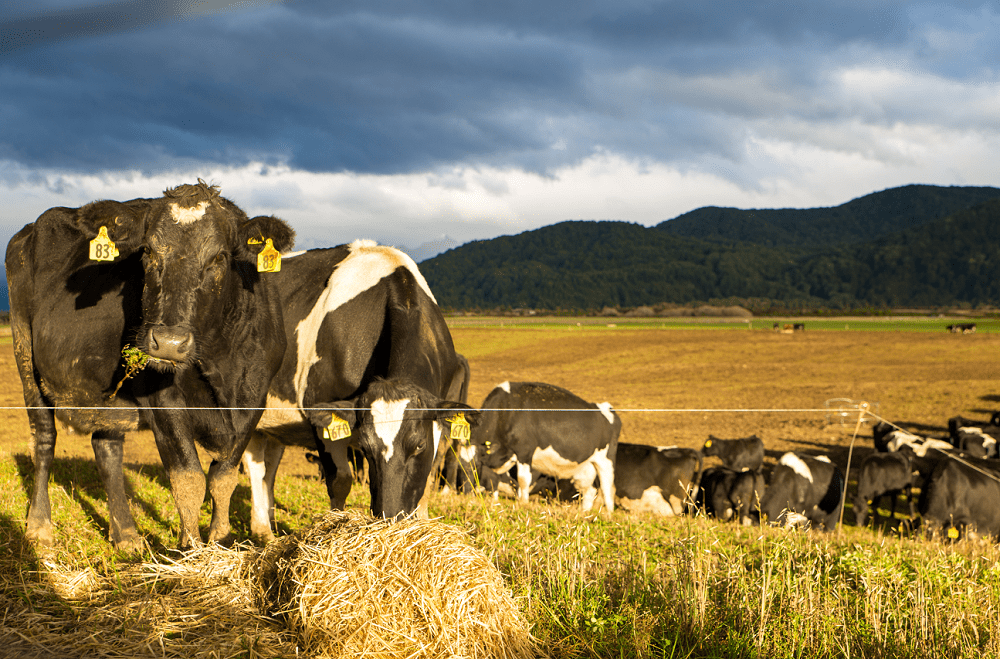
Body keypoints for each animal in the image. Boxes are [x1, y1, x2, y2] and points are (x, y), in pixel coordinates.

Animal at [7, 181, 295, 548]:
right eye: (148, 253)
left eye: (220, 257)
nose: (169, 342)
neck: (220, 361)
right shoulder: (162, 398)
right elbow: (189, 479)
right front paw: (191, 551)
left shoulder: (254, 397)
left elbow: (223, 477)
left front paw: (221, 540)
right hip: (24, 352)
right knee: (44, 437)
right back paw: (40, 526)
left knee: (107, 448)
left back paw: (126, 535)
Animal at [239, 241, 473, 540]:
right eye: (365, 447)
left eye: (419, 445)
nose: (389, 517)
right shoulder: (321, 412)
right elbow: (340, 481)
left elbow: (428, 479)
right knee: (254, 465)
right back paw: (262, 531)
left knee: (266, 465)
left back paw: (267, 527)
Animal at [471, 381, 619, 513]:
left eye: (475, 464)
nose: (469, 491)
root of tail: (606, 408)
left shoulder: (525, 451)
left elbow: (523, 479)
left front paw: (523, 504)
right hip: (584, 466)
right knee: (590, 490)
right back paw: (584, 513)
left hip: (605, 461)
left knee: (608, 489)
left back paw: (609, 515)